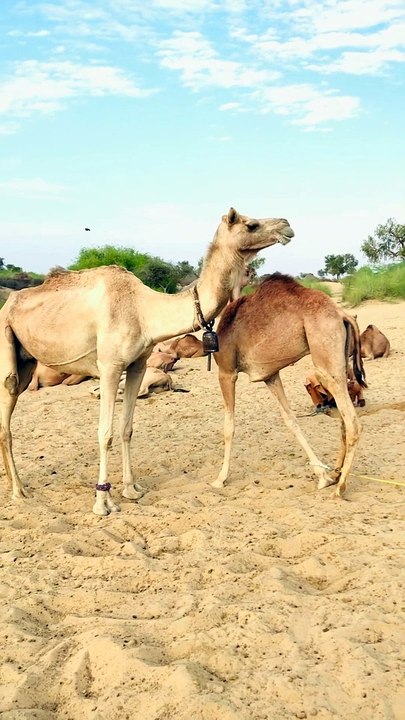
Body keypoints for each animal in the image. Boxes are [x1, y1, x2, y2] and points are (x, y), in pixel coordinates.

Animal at [0, 208, 294, 515]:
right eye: (251, 225)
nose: (287, 225)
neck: (145, 311)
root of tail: (8, 304)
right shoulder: (109, 366)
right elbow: (105, 433)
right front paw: (103, 502)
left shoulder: (138, 365)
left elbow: (126, 428)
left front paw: (131, 489)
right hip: (5, 339)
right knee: (6, 414)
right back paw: (19, 491)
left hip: (27, 362)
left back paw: (14, 485)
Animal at [212, 273, 366, 497]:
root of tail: (342, 314)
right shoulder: (270, 375)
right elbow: (290, 420)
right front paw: (322, 476)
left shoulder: (226, 372)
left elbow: (228, 427)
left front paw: (220, 479)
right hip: (340, 362)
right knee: (344, 421)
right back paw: (335, 473)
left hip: (325, 360)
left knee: (353, 423)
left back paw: (340, 487)